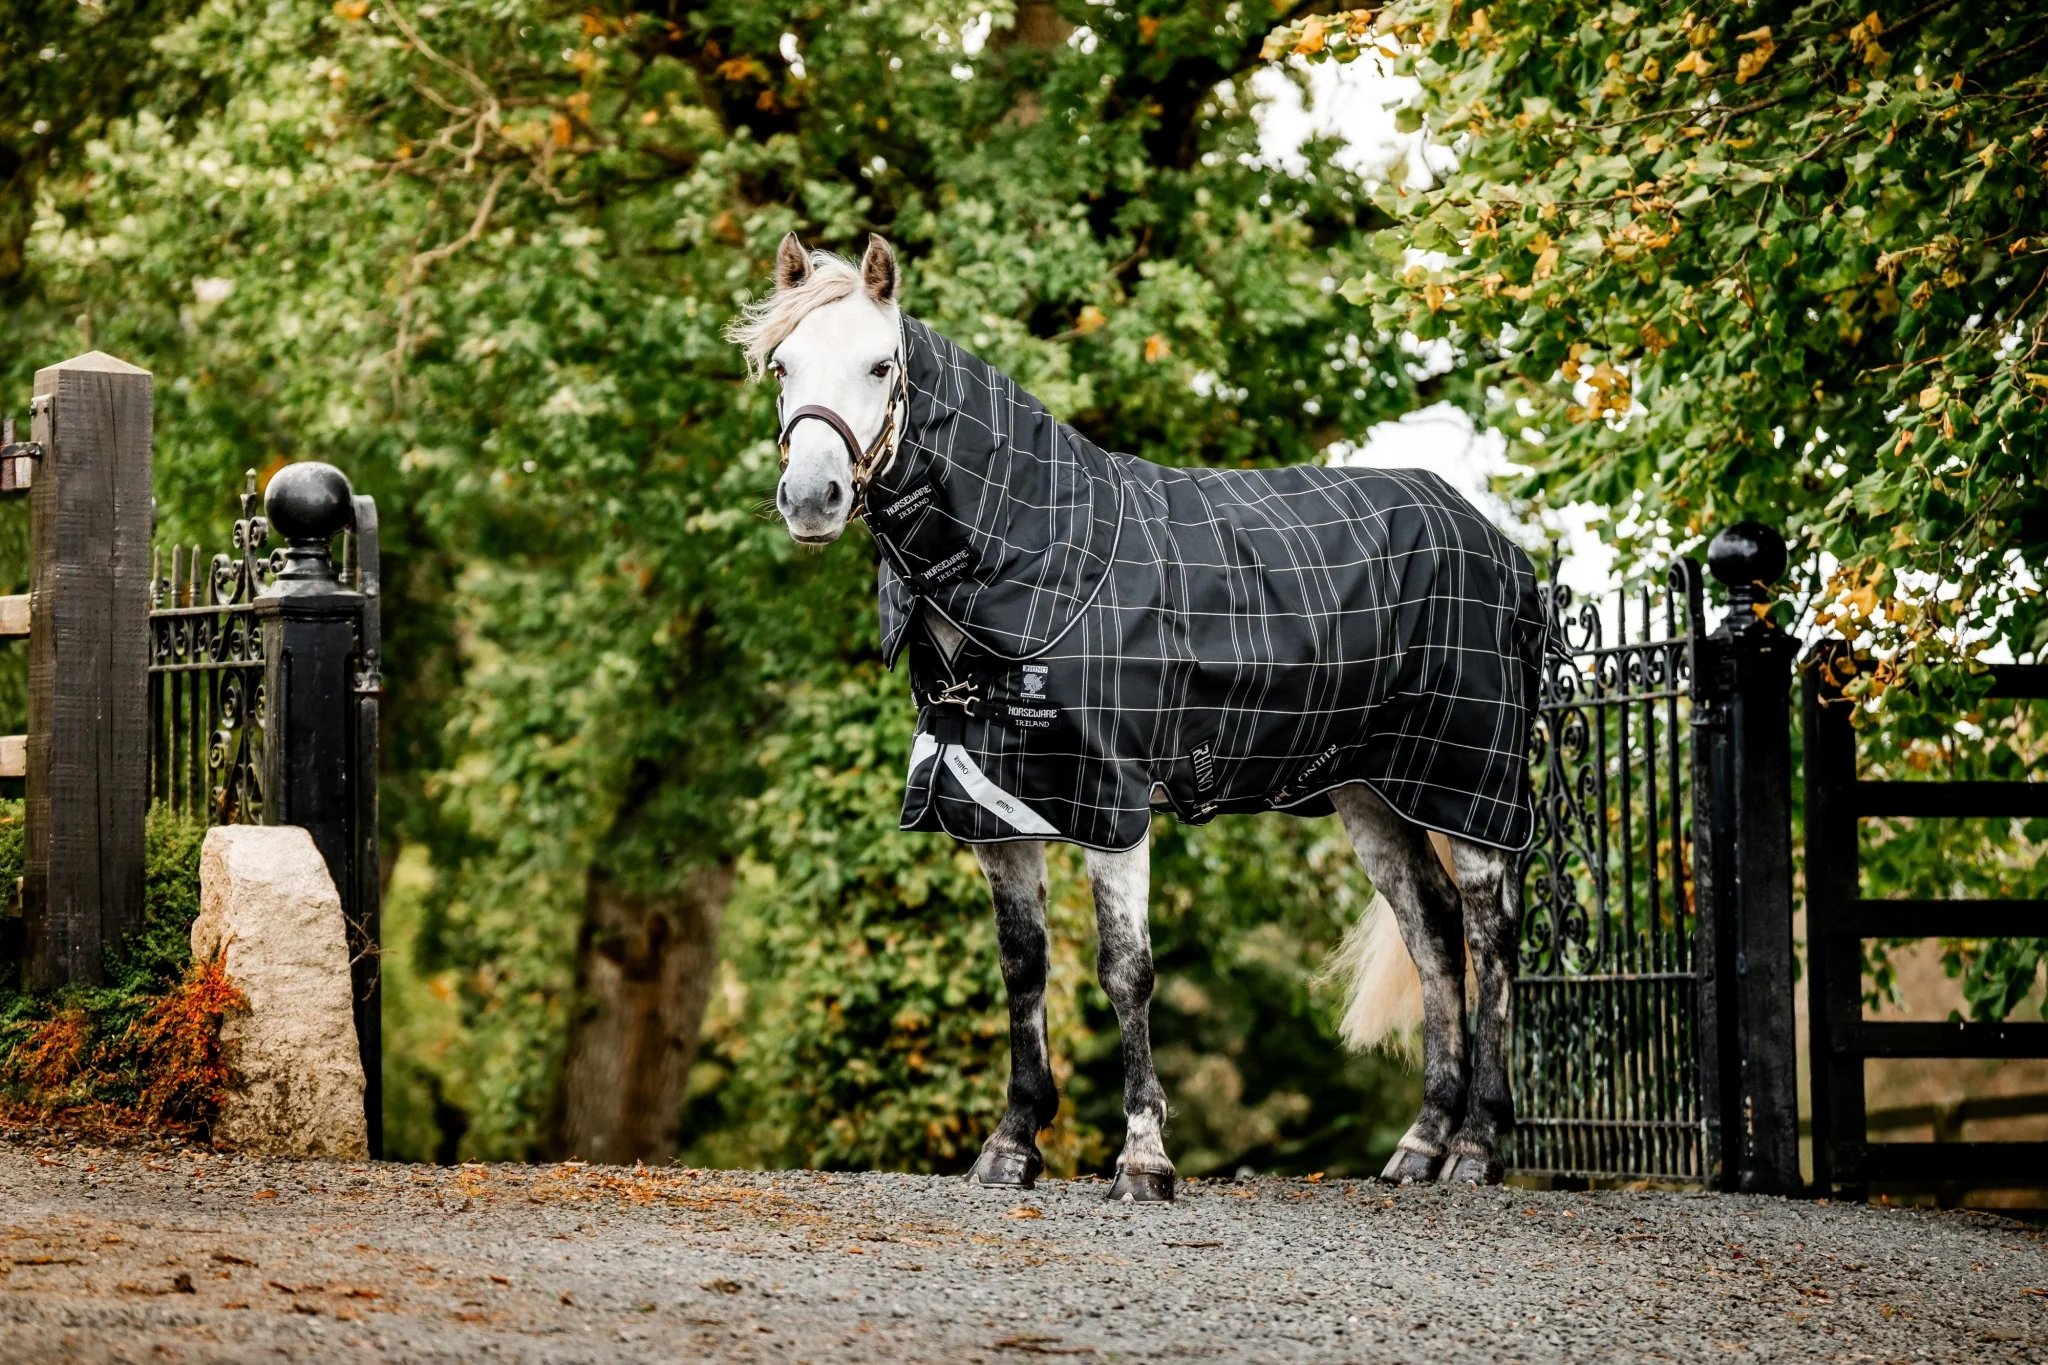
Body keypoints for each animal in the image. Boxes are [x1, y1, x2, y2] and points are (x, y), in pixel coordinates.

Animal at [733, 233, 1543, 1198]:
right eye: (781, 366)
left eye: (880, 364)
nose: (810, 496)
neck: (1040, 558)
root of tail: (1497, 544)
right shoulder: (998, 806)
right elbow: (1023, 968)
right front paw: (1012, 1144)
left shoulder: (1111, 804)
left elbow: (1127, 971)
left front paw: (1144, 1157)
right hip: (1372, 793)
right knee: (1433, 933)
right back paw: (1419, 1144)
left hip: (1470, 781)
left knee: (1491, 934)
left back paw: (1477, 1146)